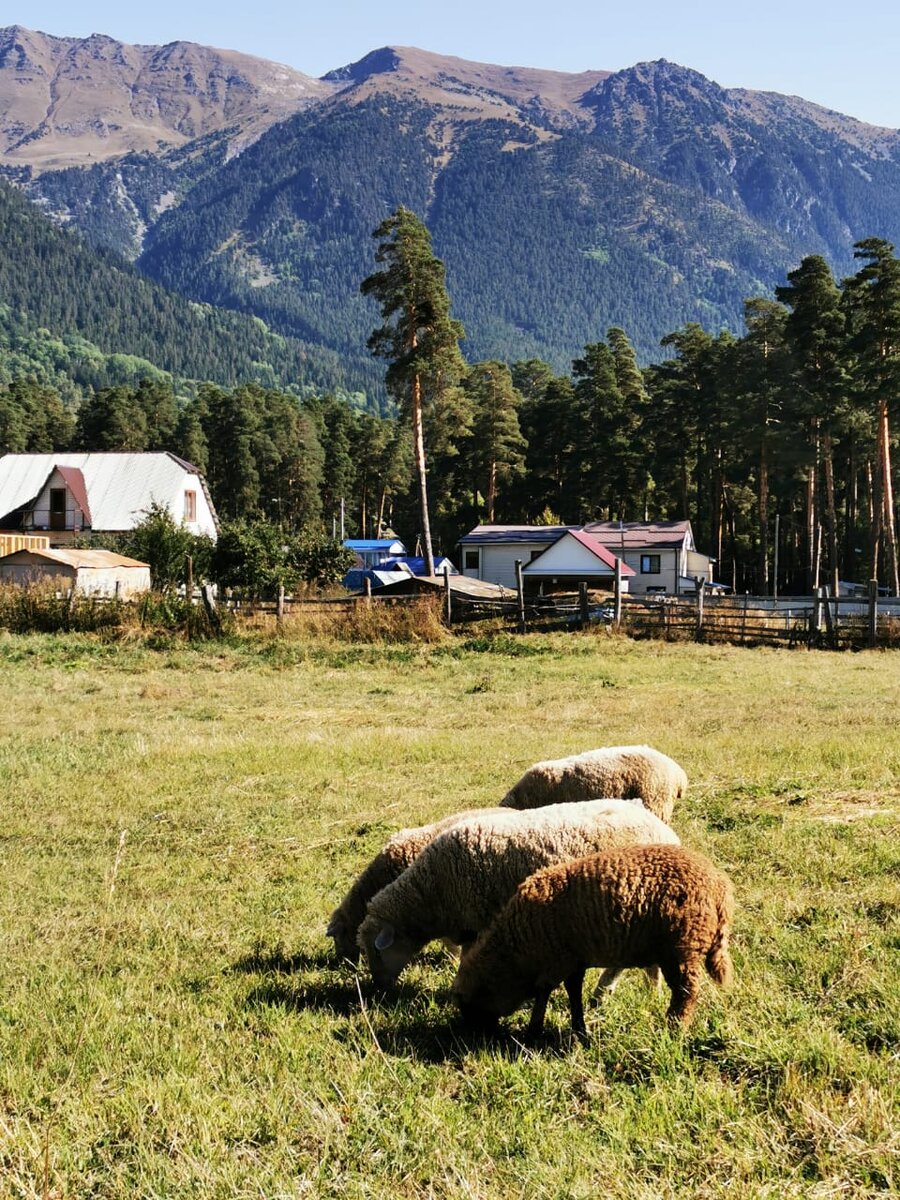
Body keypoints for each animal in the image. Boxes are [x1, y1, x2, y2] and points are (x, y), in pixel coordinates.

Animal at [355, 801, 681, 988]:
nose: (379, 989)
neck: (431, 893)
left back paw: (617, 991)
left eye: (376, 951)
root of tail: (665, 831)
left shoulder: (481, 920)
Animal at [453, 844, 734, 1041]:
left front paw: (535, 1031)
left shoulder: (558, 960)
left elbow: (548, 992)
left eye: (470, 1009)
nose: (477, 1039)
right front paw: (578, 1029)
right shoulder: (572, 960)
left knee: (686, 993)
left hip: (682, 947)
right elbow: (572, 992)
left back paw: (673, 1031)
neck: (515, 952)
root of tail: (719, 888)